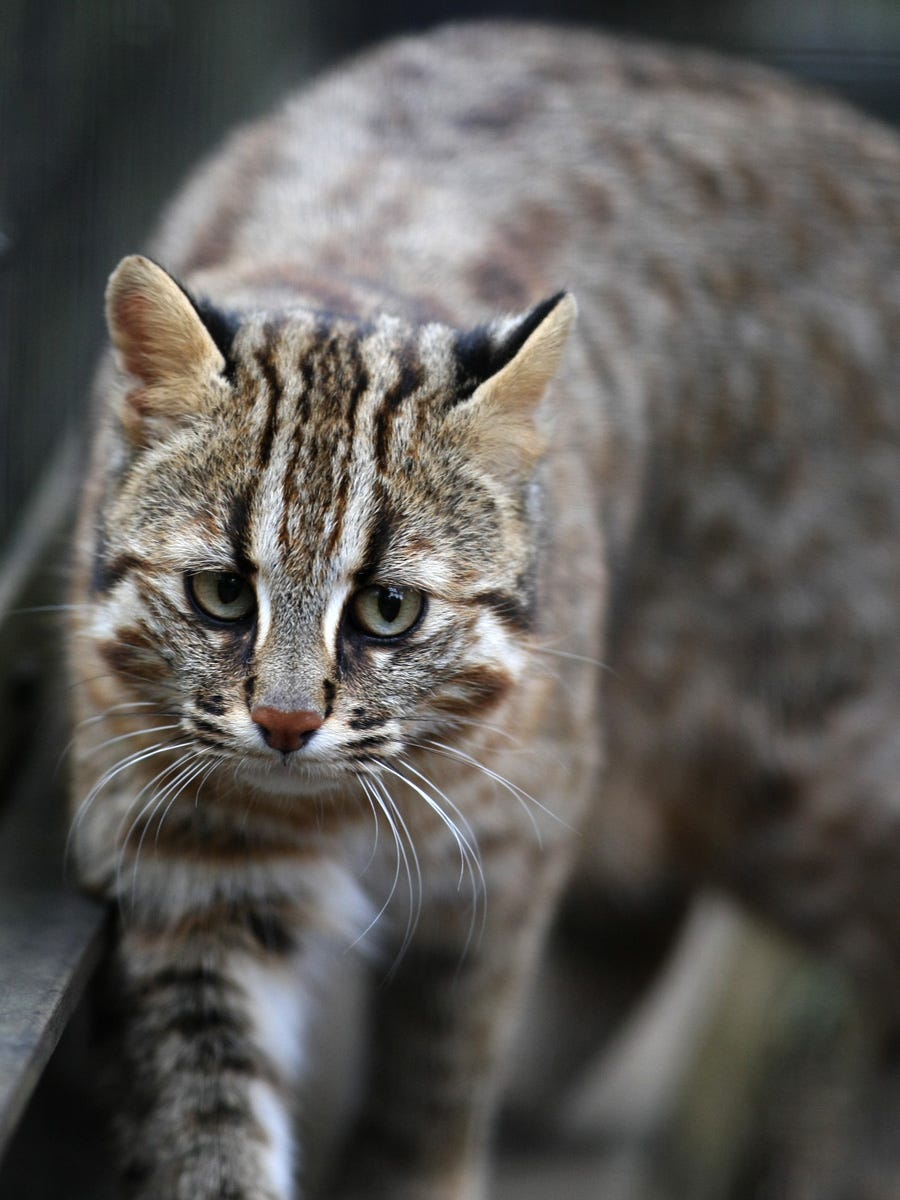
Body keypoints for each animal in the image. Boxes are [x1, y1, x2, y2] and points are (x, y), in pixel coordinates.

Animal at [66, 18, 900, 1200]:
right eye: (221, 592)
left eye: (388, 611)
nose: (284, 723)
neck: (331, 806)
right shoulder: (188, 864)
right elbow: (212, 1114)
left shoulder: (507, 848)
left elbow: (441, 1070)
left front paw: (416, 1169)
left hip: (810, 785)